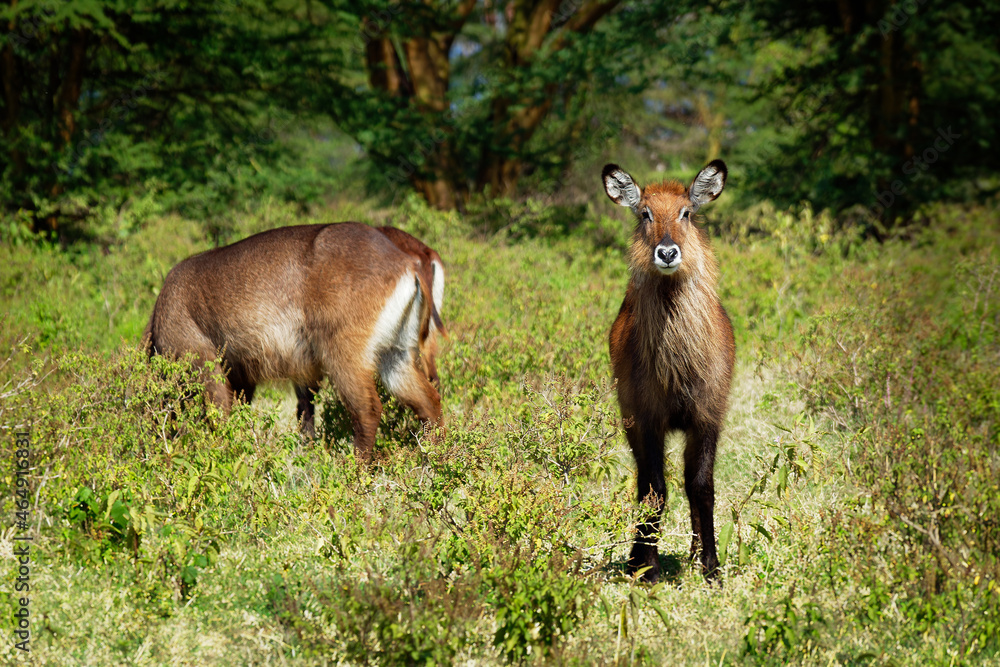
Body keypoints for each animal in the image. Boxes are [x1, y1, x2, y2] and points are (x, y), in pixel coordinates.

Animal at [144, 222, 444, 461]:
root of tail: (409, 261)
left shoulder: (204, 363)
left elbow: (220, 419)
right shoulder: (245, 377)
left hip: (342, 354)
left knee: (367, 411)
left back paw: (354, 474)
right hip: (395, 355)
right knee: (430, 401)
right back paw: (436, 460)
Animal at [602, 160, 735, 581]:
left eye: (686, 213)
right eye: (645, 213)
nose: (666, 251)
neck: (678, 368)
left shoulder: (708, 416)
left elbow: (702, 487)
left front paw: (710, 565)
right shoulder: (648, 418)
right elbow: (655, 489)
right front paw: (648, 567)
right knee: (645, 481)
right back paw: (636, 558)